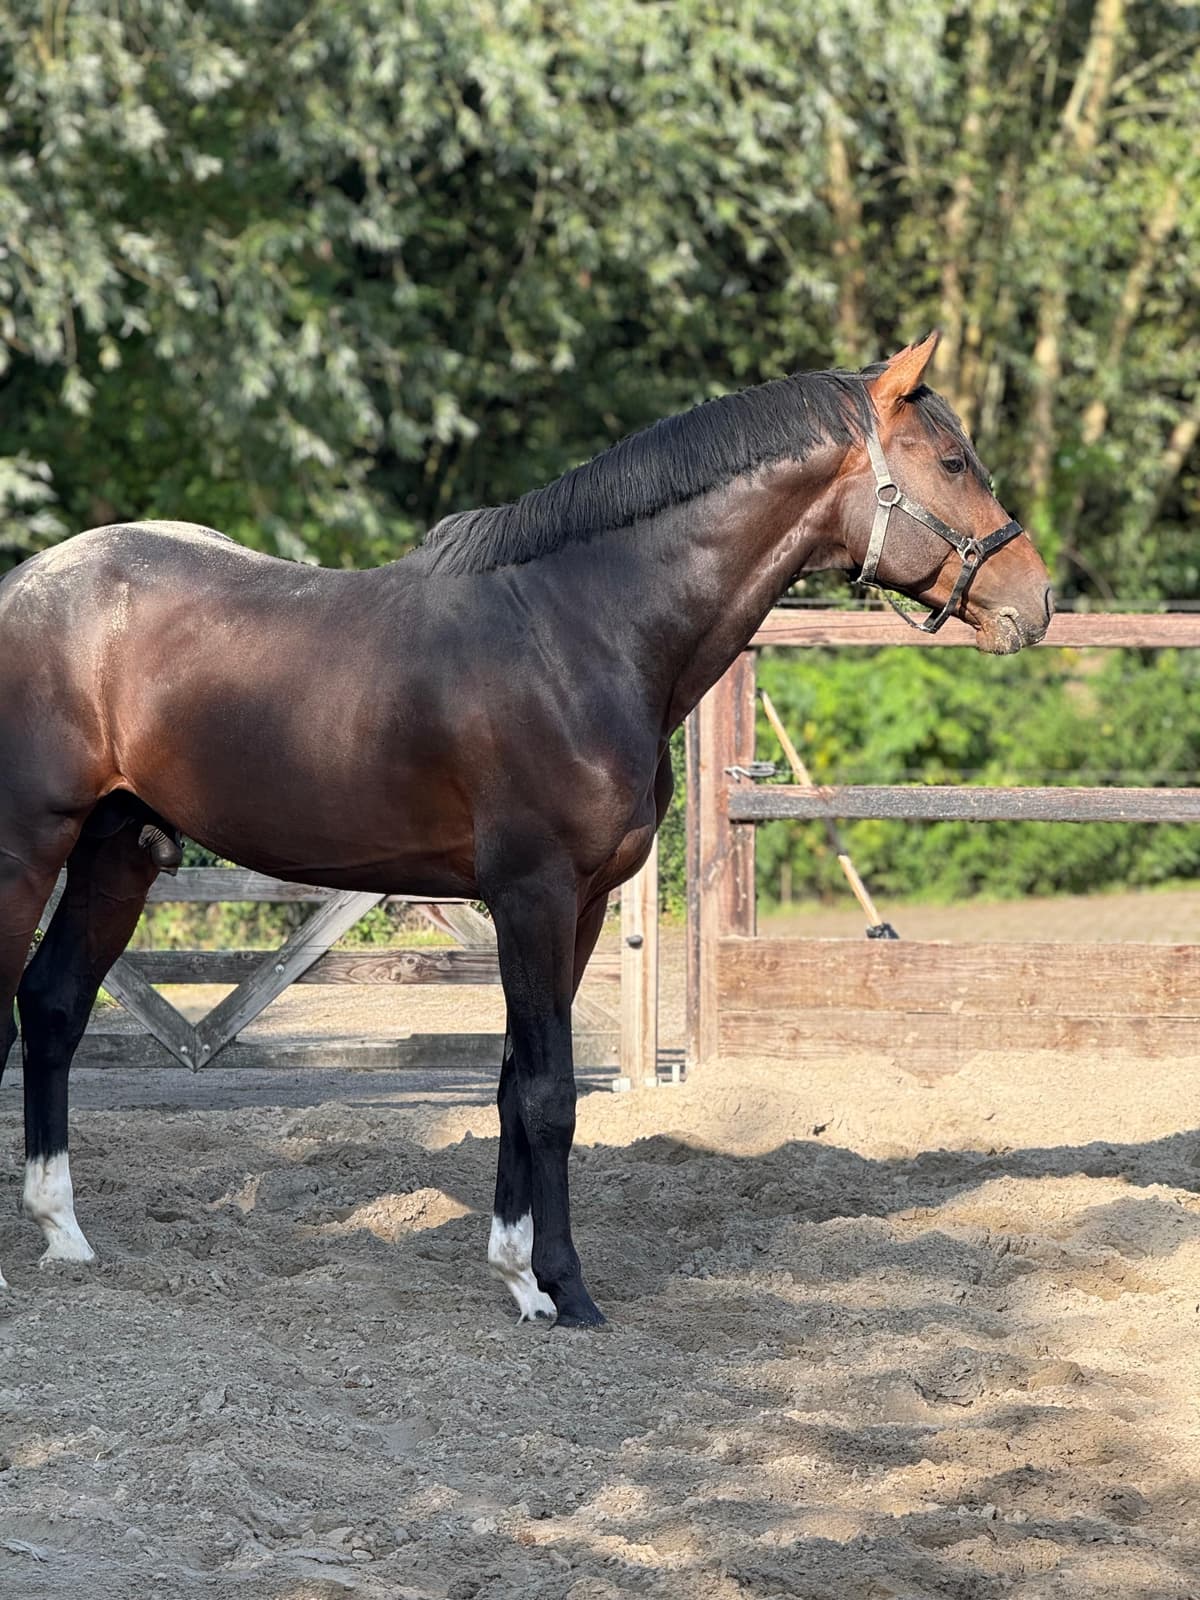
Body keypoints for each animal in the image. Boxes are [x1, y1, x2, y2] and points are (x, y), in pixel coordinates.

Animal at [0, 332, 1052, 1321]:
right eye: (952, 461)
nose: (1035, 602)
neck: (582, 631)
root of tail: (26, 588)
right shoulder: (532, 895)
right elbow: (549, 1094)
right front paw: (566, 1289)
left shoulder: (578, 907)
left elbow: (516, 1080)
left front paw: (520, 1276)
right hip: (27, 850)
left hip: (119, 852)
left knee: (52, 1006)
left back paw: (64, 1233)